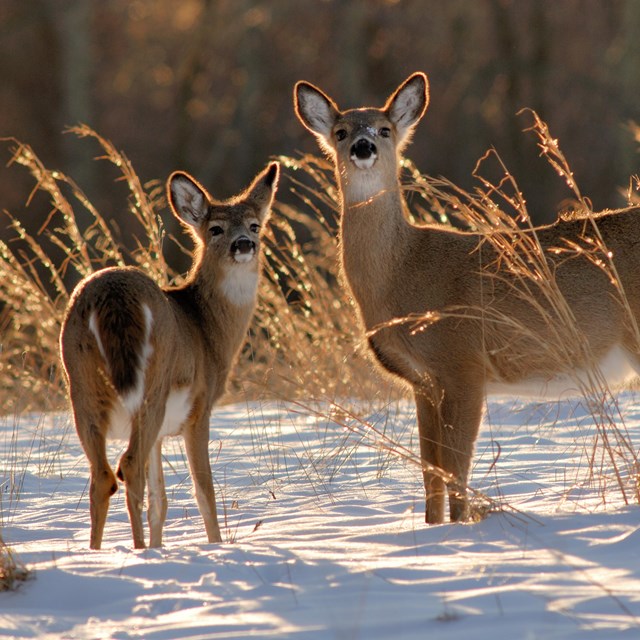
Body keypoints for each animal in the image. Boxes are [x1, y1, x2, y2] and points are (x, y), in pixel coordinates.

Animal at [60, 161, 279, 549]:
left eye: (255, 225)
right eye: (215, 228)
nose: (244, 244)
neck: (207, 331)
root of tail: (113, 298)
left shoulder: (161, 434)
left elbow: (158, 502)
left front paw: (160, 546)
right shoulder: (199, 408)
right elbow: (204, 491)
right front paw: (214, 544)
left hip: (80, 384)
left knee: (103, 475)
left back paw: (99, 553)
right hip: (154, 385)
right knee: (127, 465)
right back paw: (137, 550)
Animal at [294, 72, 640, 524]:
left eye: (384, 129)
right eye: (340, 132)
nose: (363, 146)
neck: (402, 275)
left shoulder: (463, 362)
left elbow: (456, 466)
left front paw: (459, 529)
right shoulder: (423, 381)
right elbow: (431, 472)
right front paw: (432, 527)